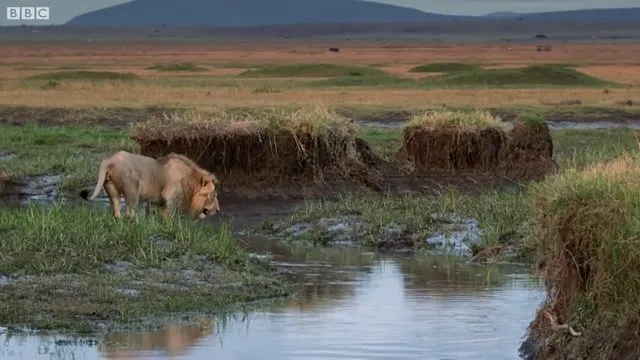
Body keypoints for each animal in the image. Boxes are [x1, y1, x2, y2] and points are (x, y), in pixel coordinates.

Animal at [78, 150, 220, 219]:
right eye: (213, 195)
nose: (218, 210)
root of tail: (109, 160)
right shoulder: (171, 199)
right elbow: (169, 218)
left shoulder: (157, 201)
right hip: (132, 190)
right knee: (130, 213)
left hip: (111, 189)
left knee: (116, 209)